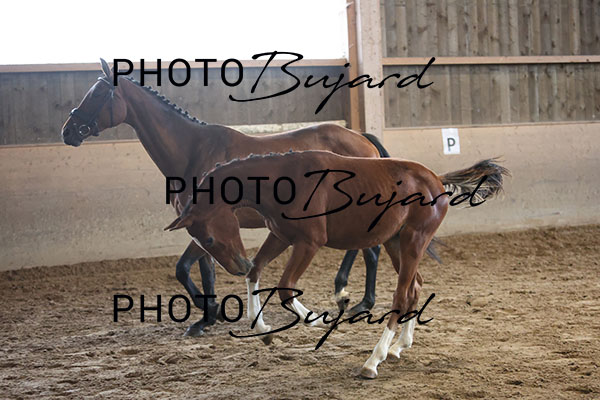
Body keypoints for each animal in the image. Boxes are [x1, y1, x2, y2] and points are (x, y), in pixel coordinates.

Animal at [60, 59, 406, 336]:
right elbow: (201, 270)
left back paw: (357, 300)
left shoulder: (206, 224)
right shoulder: (201, 229)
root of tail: (362, 139)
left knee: (371, 252)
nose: (68, 131)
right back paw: (348, 293)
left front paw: (208, 315)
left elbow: (185, 269)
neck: (194, 152)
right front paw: (209, 316)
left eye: (97, 94)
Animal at [165, 151, 508, 378]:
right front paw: (263, 330)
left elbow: (286, 289)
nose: (236, 264)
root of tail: (436, 180)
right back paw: (399, 346)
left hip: (414, 241)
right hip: (395, 243)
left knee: (401, 295)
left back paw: (373, 360)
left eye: (208, 239)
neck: (284, 180)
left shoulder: (309, 242)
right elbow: (256, 272)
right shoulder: (281, 236)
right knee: (414, 289)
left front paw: (319, 319)